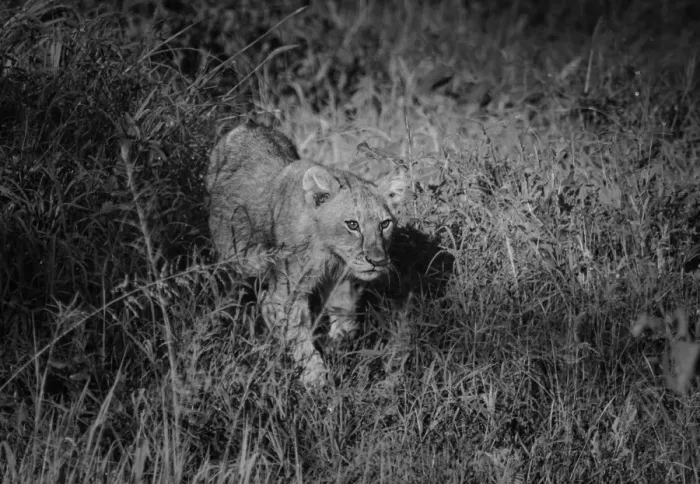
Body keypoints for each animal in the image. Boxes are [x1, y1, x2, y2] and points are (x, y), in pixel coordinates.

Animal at [206, 124, 407, 385]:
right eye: (352, 224)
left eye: (385, 224)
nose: (378, 261)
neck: (329, 254)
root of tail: (248, 124)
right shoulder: (283, 296)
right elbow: (298, 338)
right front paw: (317, 381)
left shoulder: (341, 283)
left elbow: (344, 319)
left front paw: (340, 349)